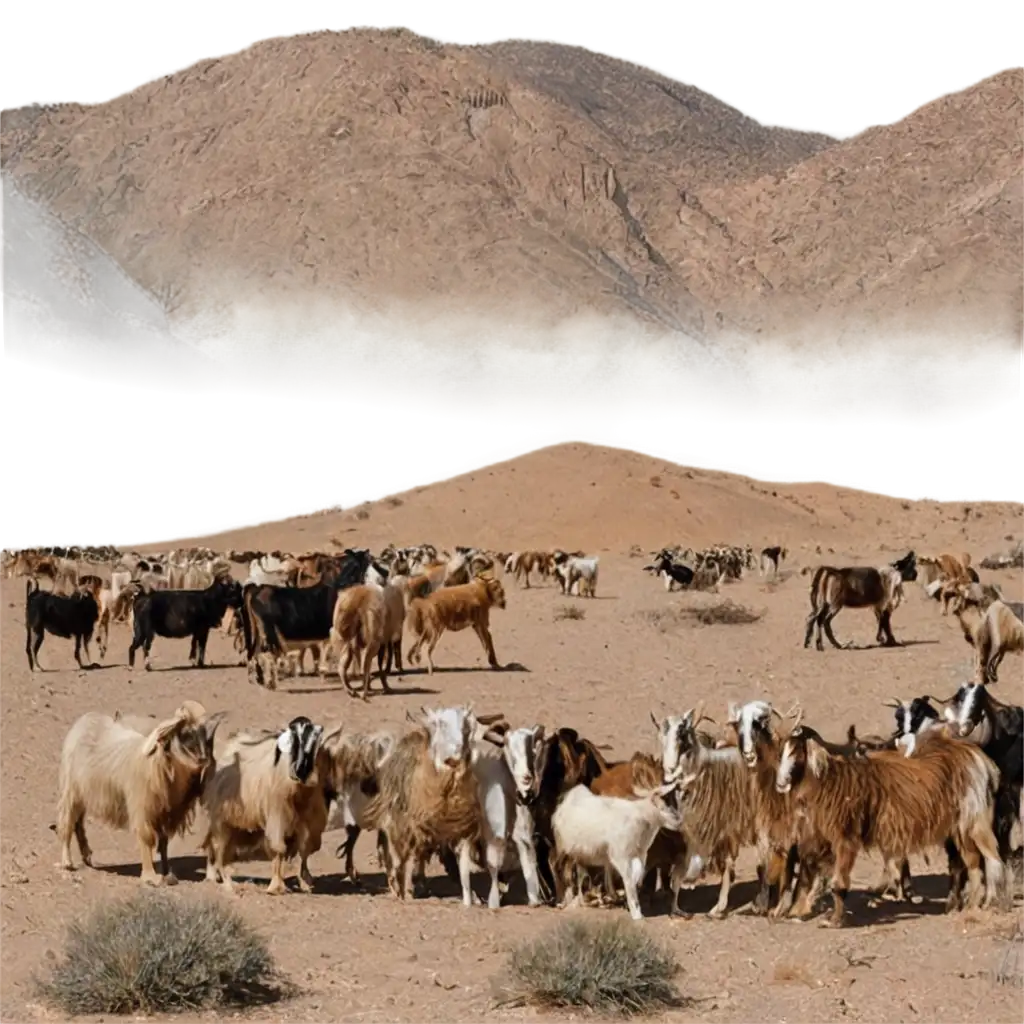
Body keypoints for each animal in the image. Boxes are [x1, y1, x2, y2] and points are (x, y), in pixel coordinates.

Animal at [56, 708, 224, 884]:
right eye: (185, 735)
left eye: (206, 738)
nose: (204, 761)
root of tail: (86, 719)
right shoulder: (142, 808)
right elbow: (146, 838)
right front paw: (151, 876)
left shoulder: (165, 813)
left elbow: (163, 842)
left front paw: (167, 872)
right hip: (70, 790)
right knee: (67, 822)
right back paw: (67, 862)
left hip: (83, 792)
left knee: (78, 823)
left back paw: (86, 855)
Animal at [203, 716, 335, 892]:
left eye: (316, 744)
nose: (300, 774)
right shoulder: (277, 816)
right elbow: (279, 848)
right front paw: (276, 887)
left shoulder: (309, 822)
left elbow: (305, 849)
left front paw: (305, 883)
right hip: (222, 821)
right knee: (218, 849)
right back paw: (226, 883)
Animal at [552, 774, 688, 921]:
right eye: (666, 802)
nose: (680, 822)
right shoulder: (621, 856)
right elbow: (629, 880)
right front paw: (636, 914)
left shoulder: (640, 855)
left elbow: (637, 877)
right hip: (565, 847)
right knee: (560, 867)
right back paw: (564, 901)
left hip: (582, 852)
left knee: (581, 872)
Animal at [774, 716, 999, 925]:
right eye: (781, 752)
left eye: (796, 751)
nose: (781, 783)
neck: (832, 781)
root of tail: (974, 756)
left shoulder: (846, 838)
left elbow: (838, 882)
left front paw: (835, 920)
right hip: (959, 827)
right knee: (972, 862)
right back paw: (969, 906)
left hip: (973, 820)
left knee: (989, 857)